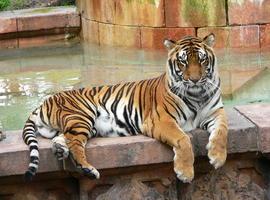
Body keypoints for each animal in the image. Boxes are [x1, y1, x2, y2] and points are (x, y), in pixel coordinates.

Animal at [22, 33, 228, 183]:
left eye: (201, 60)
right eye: (183, 61)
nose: (194, 79)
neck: (197, 95)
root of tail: (44, 101)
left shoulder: (216, 112)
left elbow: (222, 131)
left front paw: (218, 158)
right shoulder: (161, 120)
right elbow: (183, 139)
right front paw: (185, 173)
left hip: (81, 126)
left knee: (62, 138)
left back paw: (59, 150)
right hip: (81, 116)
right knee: (75, 144)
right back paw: (88, 169)